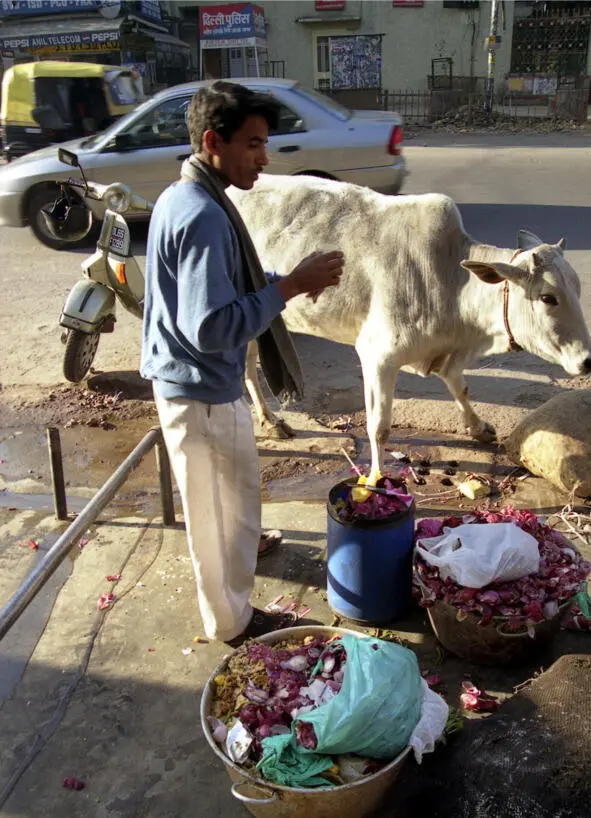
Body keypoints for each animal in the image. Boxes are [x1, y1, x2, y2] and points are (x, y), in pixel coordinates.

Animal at [228, 172, 591, 478]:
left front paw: (478, 428)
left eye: (577, 288)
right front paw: (376, 477)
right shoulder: (377, 356)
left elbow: (460, 387)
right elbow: (379, 426)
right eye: (547, 298)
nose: (587, 360)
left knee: (247, 366)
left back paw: (269, 420)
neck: (452, 280)